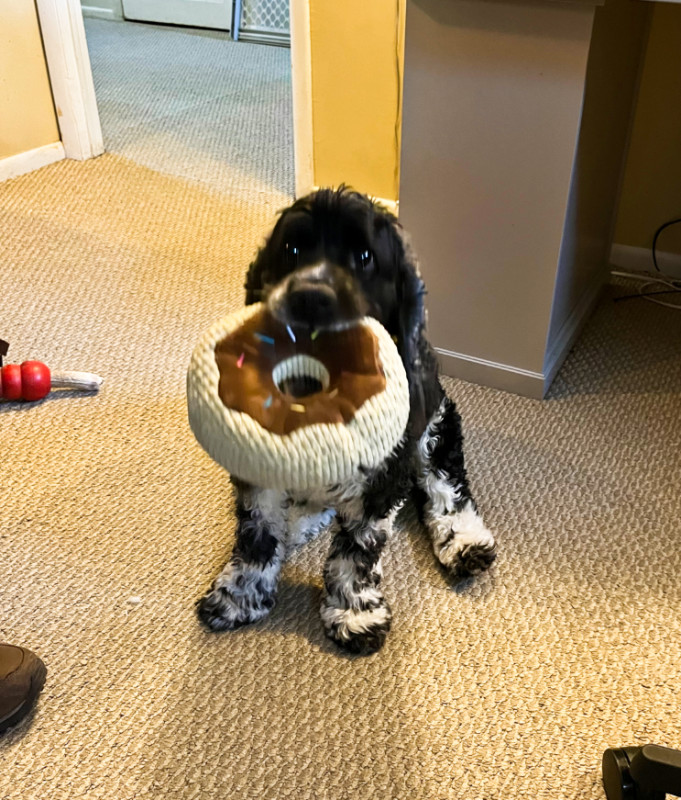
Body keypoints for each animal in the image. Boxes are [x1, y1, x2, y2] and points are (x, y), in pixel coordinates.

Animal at [197, 189, 494, 656]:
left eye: (365, 257)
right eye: (291, 249)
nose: (310, 297)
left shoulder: (381, 483)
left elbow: (355, 552)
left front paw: (355, 614)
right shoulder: (257, 475)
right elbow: (256, 536)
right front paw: (238, 596)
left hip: (437, 427)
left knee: (447, 486)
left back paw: (465, 541)